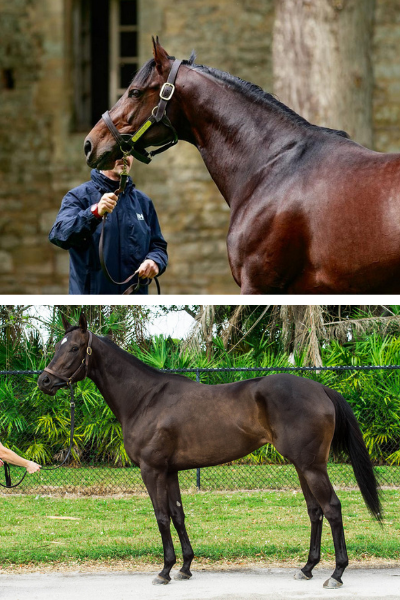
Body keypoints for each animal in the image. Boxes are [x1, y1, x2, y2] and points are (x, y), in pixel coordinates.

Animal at [37, 316, 382, 588]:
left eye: (74, 348)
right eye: (56, 347)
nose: (44, 381)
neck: (146, 398)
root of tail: (320, 388)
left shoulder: (152, 470)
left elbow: (161, 516)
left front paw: (164, 571)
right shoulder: (170, 471)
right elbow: (177, 514)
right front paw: (185, 567)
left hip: (312, 466)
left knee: (332, 508)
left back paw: (336, 574)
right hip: (301, 466)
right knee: (315, 511)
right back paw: (307, 568)